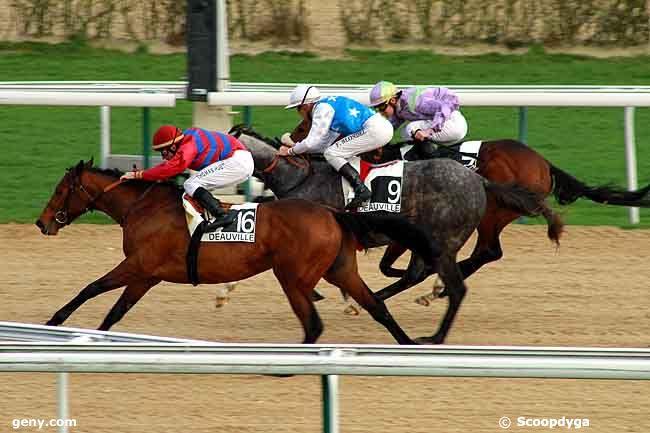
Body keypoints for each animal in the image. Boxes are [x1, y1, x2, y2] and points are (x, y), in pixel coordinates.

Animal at [36, 159, 440, 344]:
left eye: (60, 190)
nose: (42, 223)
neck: (142, 207)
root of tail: (332, 212)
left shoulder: (137, 264)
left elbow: (91, 288)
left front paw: (53, 321)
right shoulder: (147, 275)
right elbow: (114, 312)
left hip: (293, 277)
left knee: (313, 323)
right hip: (340, 270)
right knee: (377, 307)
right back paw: (407, 345)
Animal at [228, 123, 556, 342]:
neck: (299, 176)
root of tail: (479, 181)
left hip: (444, 240)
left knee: (458, 282)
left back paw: (434, 333)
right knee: (424, 273)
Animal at [286, 117, 648, 300]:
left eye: (306, 124)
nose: (290, 140)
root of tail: (543, 164)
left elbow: (396, 265)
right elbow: (390, 266)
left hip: (492, 213)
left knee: (488, 251)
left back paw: (441, 288)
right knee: (485, 253)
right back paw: (442, 286)